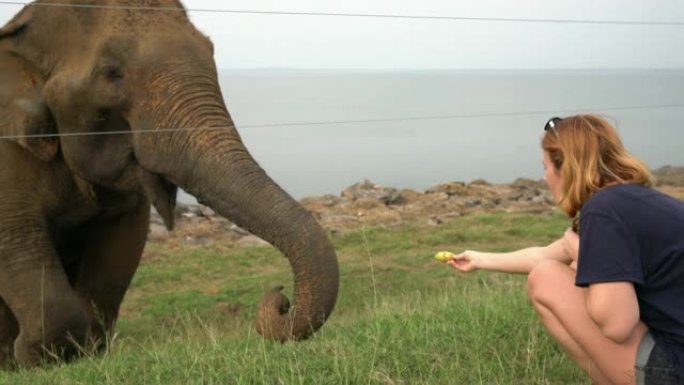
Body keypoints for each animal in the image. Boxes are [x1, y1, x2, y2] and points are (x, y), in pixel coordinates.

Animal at [0, 0, 340, 366]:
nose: (280, 297)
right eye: (111, 73)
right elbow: (15, 236)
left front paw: (83, 354)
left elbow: (122, 246)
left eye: (212, 52)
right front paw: (32, 358)